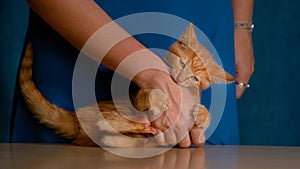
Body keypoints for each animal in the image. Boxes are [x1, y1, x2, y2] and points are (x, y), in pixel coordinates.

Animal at [19, 23, 234, 147]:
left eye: (195, 78)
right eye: (182, 63)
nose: (181, 79)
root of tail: (77, 119)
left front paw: (203, 115)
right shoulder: (138, 96)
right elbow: (146, 96)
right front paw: (158, 96)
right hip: (121, 108)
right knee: (112, 121)